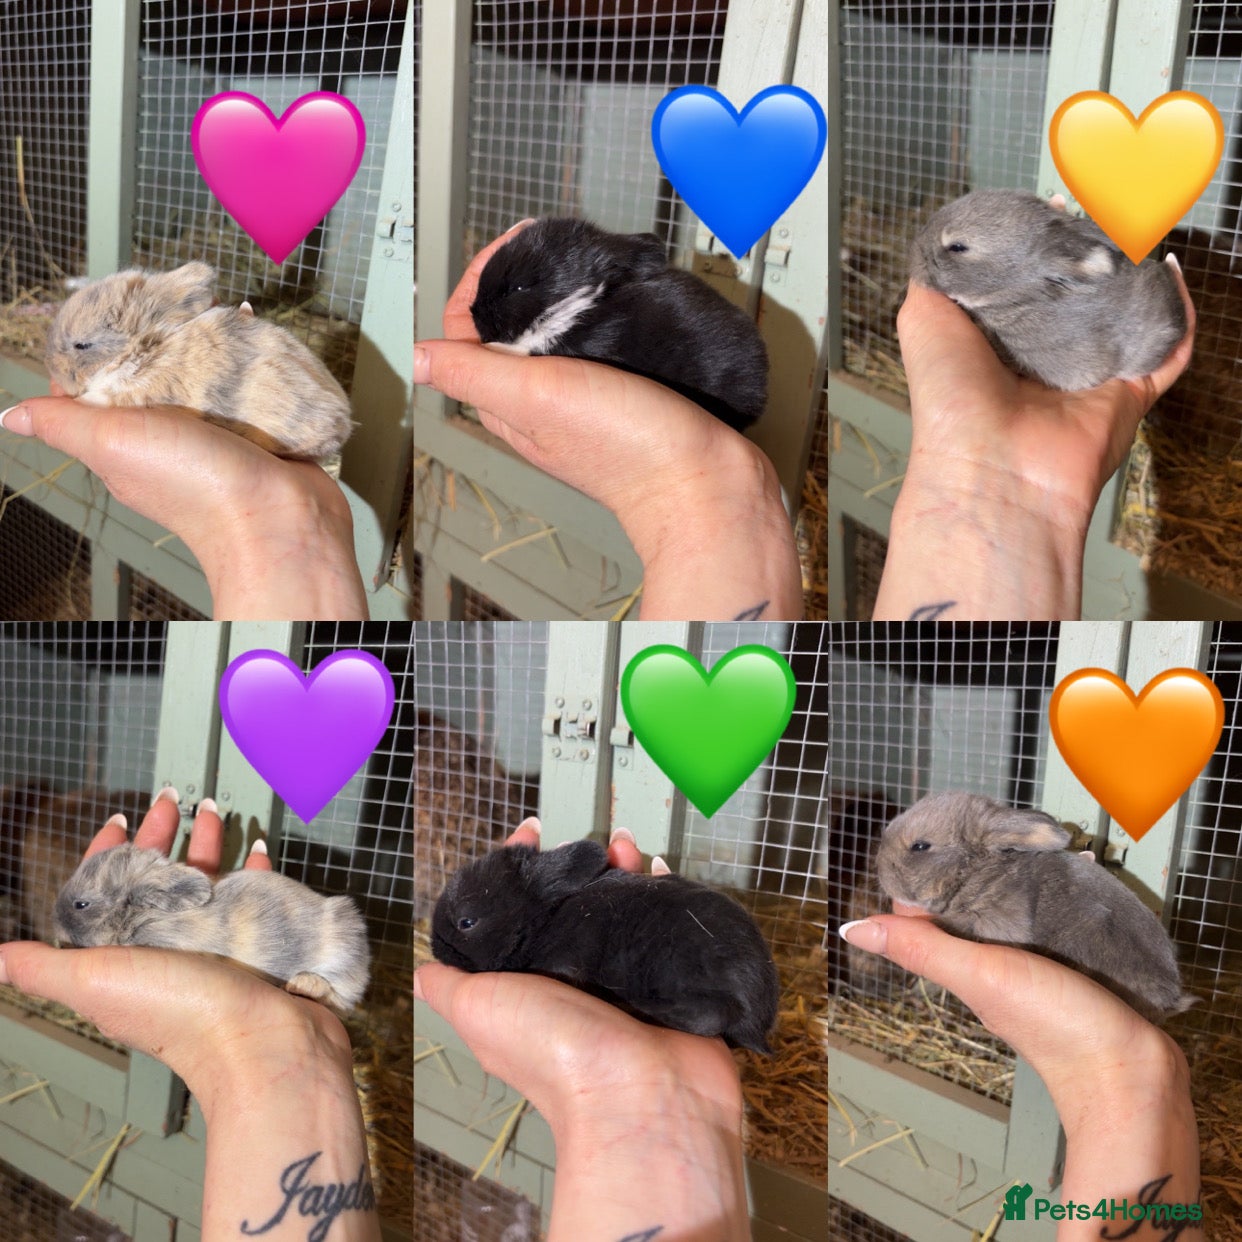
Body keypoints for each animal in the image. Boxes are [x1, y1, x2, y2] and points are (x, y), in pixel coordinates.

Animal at [54, 843, 371, 1012]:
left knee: (337, 997)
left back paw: (303, 984)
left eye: (81, 904)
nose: (55, 922)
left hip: (341, 956)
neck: (139, 914)